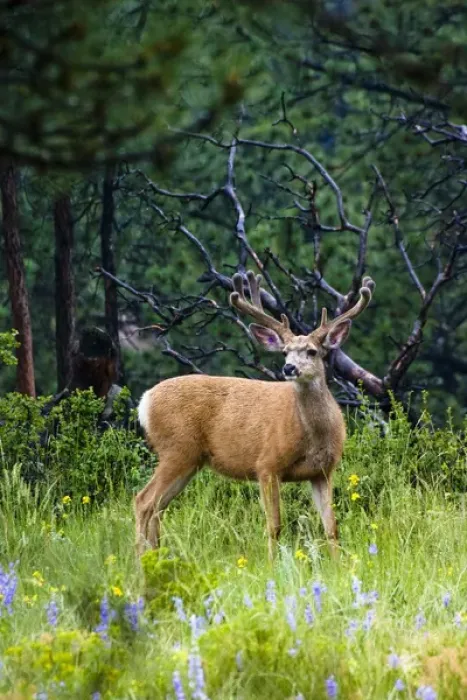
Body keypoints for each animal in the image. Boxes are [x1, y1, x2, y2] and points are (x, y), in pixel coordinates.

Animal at [136, 270, 375, 559]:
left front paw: (338, 564)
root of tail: (144, 401)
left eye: (312, 351)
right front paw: (272, 564)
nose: (289, 368)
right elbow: (274, 526)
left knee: (157, 508)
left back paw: (155, 558)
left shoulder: (323, 471)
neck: (313, 435)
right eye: (284, 352)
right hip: (176, 449)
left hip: (189, 460)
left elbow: (331, 527)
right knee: (143, 501)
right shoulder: (267, 464)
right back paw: (138, 562)